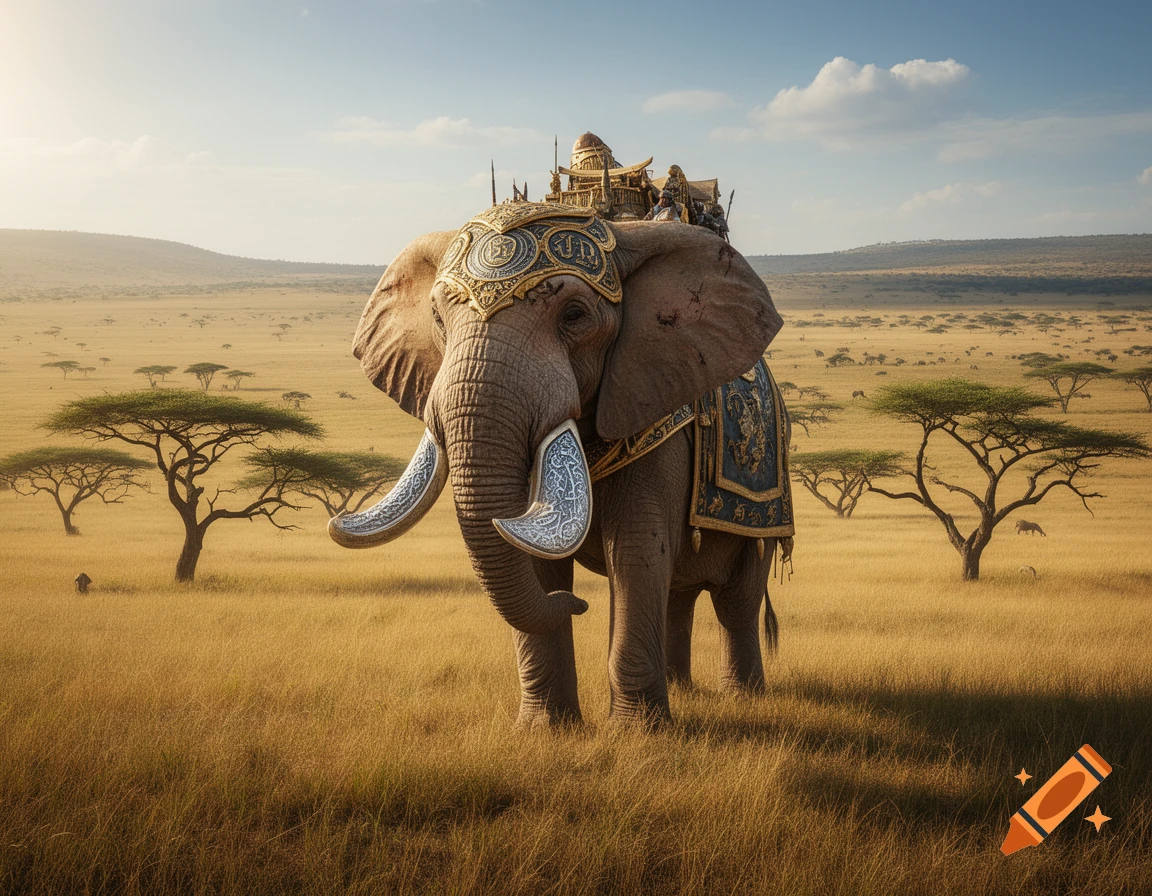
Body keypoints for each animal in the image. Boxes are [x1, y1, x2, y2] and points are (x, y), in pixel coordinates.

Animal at [329, 202, 788, 727]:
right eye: (438, 320)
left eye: (574, 315)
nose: (577, 604)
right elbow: (534, 553)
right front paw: (546, 730)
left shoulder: (658, 412)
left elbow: (636, 551)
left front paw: (637, 734)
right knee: (680, 592)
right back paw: (684, 691)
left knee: (737, 598)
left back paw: (744, 698)